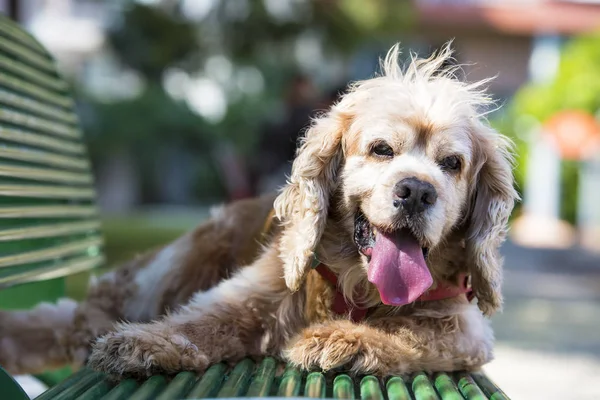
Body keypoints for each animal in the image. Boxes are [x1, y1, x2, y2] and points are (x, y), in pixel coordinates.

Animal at [0, 43, 516, 378]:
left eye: (452, 164)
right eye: (382, 150)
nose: (416, 192)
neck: (357, 283)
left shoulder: (465, 329)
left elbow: (419, 334)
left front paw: (342, 339)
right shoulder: (249, 295)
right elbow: (199, 321)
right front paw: (144, 343)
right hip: (187, 257)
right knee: (86, 313)